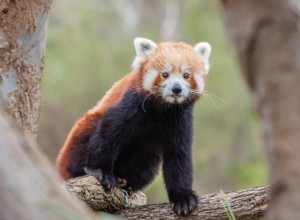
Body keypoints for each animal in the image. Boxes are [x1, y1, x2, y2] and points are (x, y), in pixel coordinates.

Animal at [56, 37, 211, 215]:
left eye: (186, 75)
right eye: (165, 74)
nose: (176, 88)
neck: (162, 109)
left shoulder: (181, 119)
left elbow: (179, 154)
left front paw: (182, 197)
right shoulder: (132, 103)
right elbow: (108, 133)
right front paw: (99, 171)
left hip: (148, 156)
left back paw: (127, 184)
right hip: (80, 135)